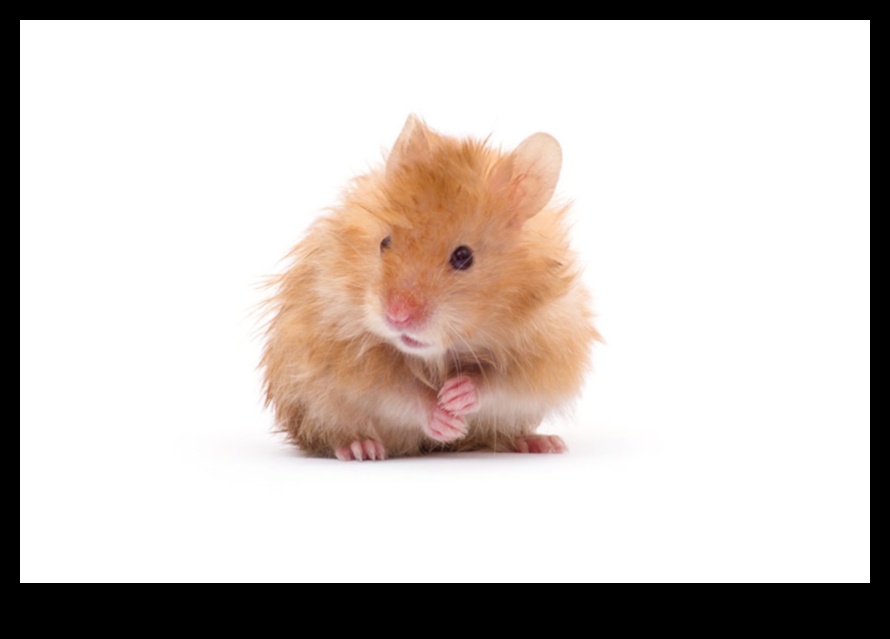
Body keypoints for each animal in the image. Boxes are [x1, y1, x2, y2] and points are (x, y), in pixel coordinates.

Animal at [261, 115, 599, 460]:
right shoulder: (344, 357)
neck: (447, 348)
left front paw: (456, 397)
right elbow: (400, 392)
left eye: (463, 257)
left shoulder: (549, 351)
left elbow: (500, 384)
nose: (396, 316)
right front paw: (446, 420)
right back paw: (362, 449)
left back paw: (543, 443)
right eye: (385, 242)